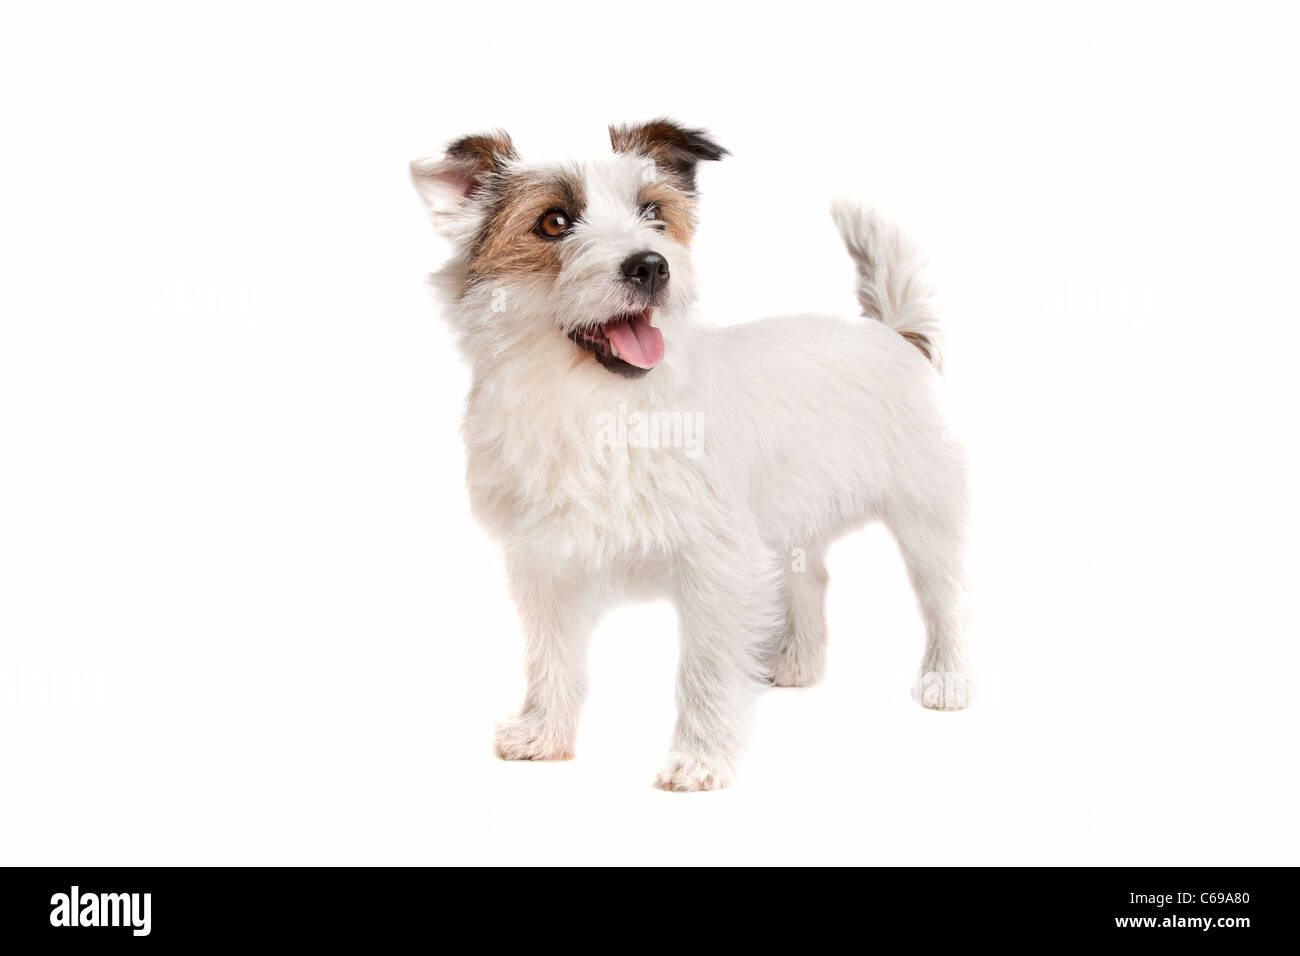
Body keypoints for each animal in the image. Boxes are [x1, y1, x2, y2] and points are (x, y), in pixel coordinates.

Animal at [410, 119, 972, 790]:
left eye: (653, 212)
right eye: (553, 222)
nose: (651, 265)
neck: (600, 407)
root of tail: (894, 334)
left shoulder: (718, 565)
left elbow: (704, 670)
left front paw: (701, 760)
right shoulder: (545, 565)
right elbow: (550, 656)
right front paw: (544, 735)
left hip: (924, 518)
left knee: (944, 598)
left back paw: (947, 680)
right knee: (811, 578)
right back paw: (798, 664)